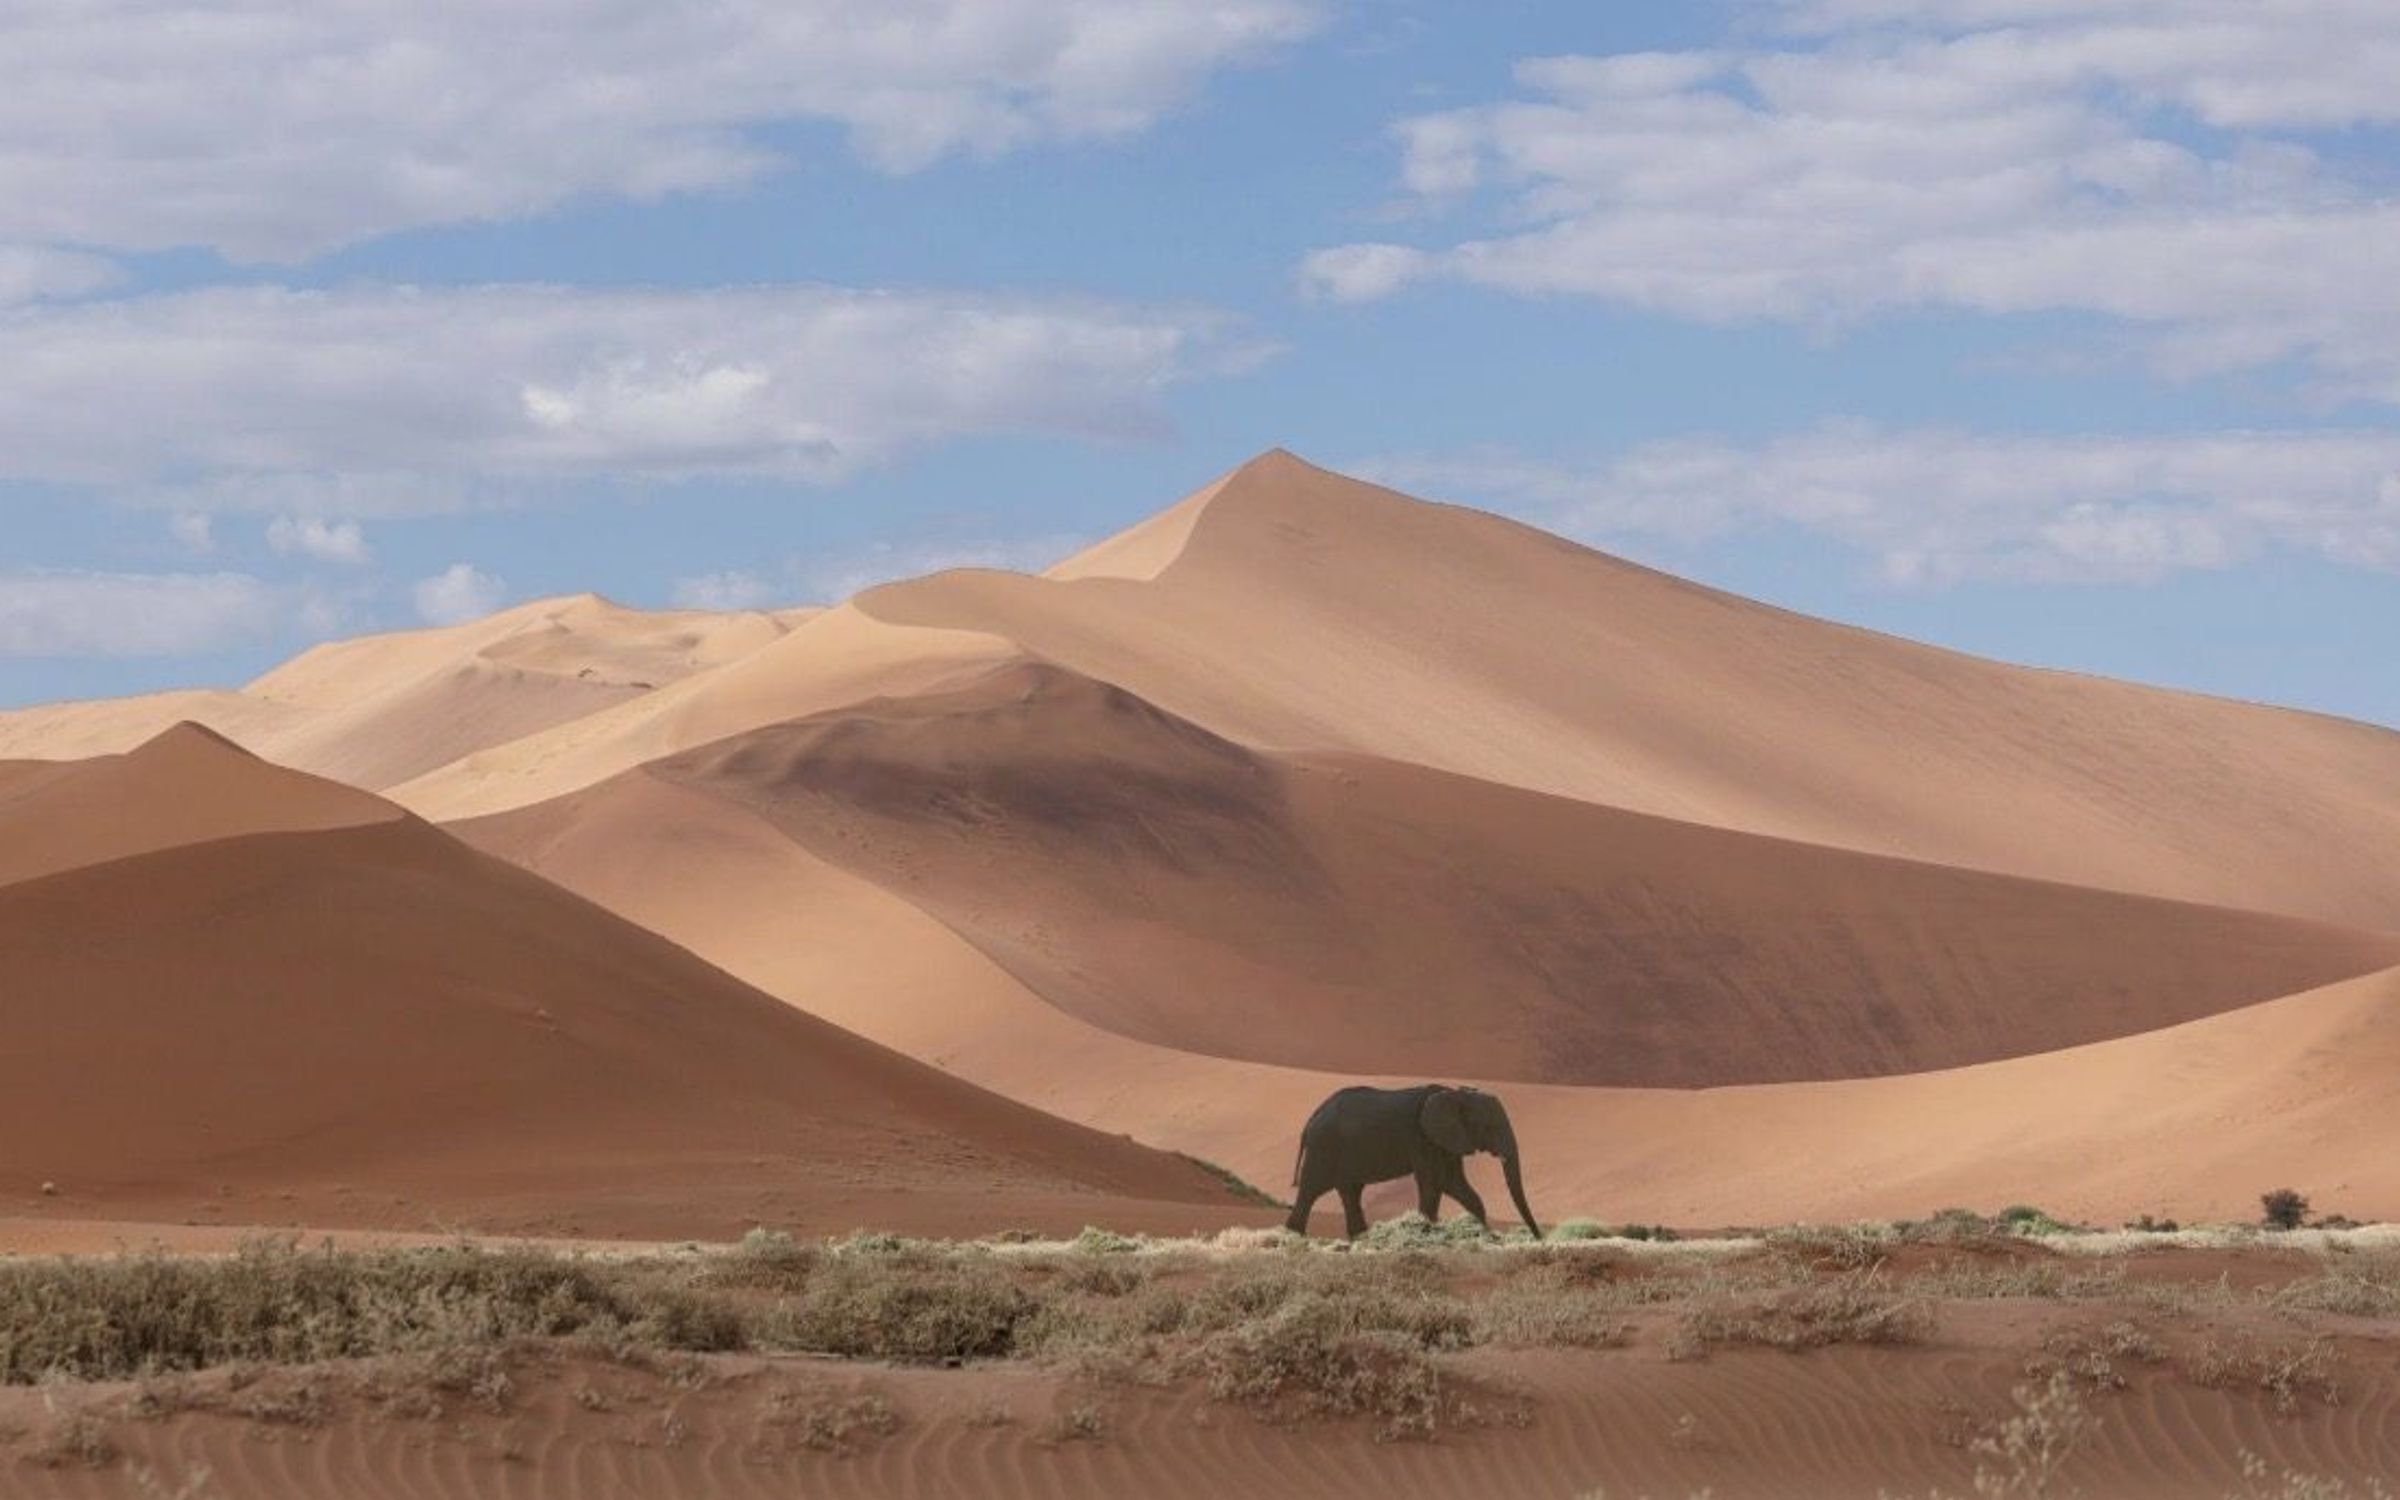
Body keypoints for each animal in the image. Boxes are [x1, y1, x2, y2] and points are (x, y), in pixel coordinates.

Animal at [1284, 1083, 1541, 1240]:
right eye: (1490, 1127)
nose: (1538, 1238)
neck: (1456, 1094)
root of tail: (1311, 1119)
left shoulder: (1446, 1141)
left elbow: (1455, 1185)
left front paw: (1485, 1235)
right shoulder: (1423, 1139)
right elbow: (1434, 1185)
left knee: (1350, 1192)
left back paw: (1360, 1239)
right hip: (1323, 1149)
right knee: (1310, 1192)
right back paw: (1292, 1237)